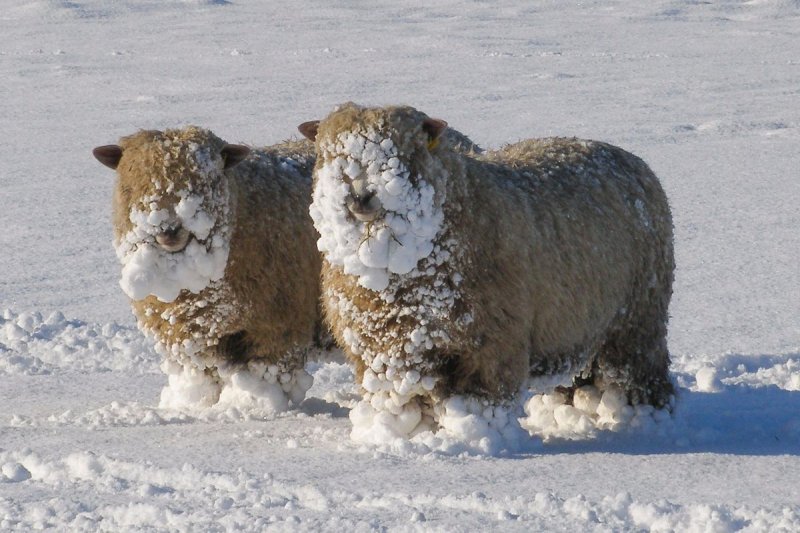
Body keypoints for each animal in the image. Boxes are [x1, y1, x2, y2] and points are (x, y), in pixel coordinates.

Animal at [90, 125, 322, 412]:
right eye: (131, 180)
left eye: (208, 180)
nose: (169, 229)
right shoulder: (193, 340)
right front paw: (203, 406)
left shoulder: (278, 328)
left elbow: (267, 375)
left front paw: (255, 406)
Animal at [300, 104, 676, 444]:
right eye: (330, 154)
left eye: (404, 154)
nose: (360, 196)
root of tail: (632, 159)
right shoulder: (385, 350)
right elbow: (401, 400)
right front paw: (405, 434)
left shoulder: (489, 345)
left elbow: (481, 402)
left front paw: (476, 434)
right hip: (576, 326)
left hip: (636, 321)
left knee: (640, 374)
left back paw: (645, 418)